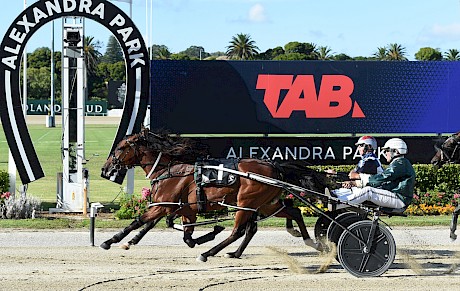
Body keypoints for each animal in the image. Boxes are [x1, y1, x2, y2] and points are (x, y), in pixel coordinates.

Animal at [101, 130, 328, 262]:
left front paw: (112, 241)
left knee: (239, 231)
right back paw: (310, 242)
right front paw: (208, 233)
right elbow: (185, 236)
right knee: (292, 211)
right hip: (264, 204)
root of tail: (274, 166)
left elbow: (138, 221)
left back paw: (208, 253)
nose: (105, 169)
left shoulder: (162, 205)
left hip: (247, 202)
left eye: (120, 147)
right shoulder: (185, 209)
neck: (168, 171)